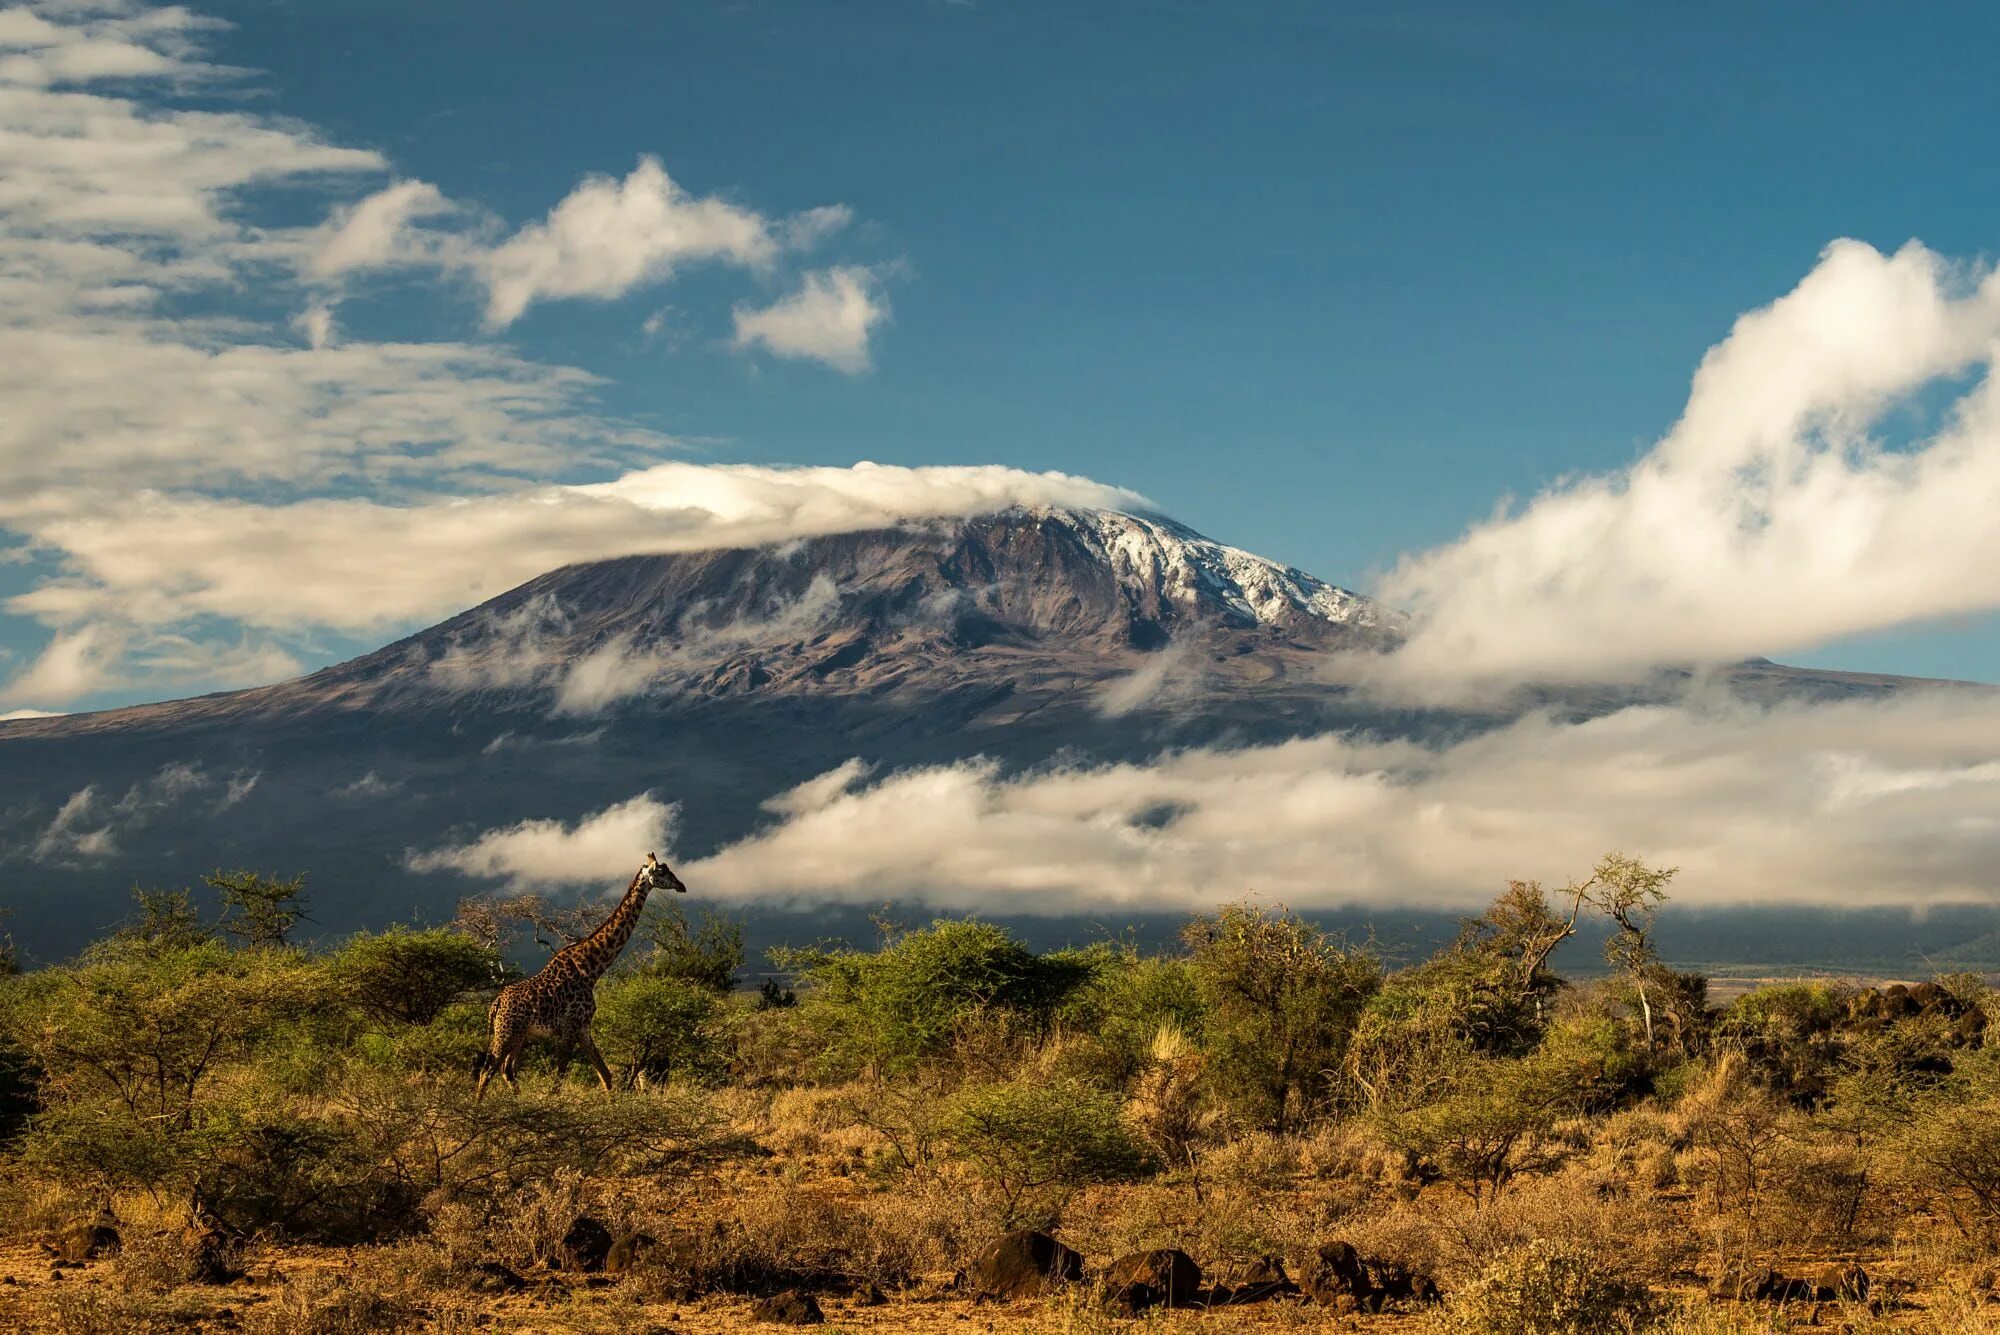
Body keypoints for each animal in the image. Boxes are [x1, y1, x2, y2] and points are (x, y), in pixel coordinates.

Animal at [474, 851, 688, 1103]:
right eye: (663, 872)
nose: (682, 885)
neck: (591, 969)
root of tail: (496, 1004)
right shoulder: (571, 1026)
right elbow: (558, 1079)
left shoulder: (583, 1028)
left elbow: (606, 1075)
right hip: (507, 1031)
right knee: (488, 1069)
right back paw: (478, 1109)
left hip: (521, 1035)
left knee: (506, 1069)